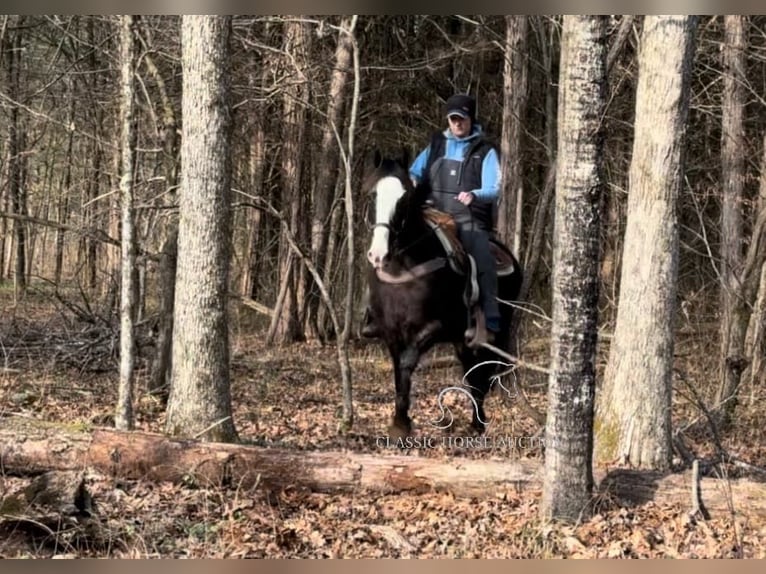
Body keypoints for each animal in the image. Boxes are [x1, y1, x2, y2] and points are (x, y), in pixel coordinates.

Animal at [364, 152, 520, 436]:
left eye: (405, 200)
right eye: (372, 195)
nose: (378, 255)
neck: (405, 266)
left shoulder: (436, 327)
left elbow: (407, 363)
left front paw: (402, 425)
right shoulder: (390, 331)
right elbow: (397, 371)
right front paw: (399, 423)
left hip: (495, 331)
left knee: (483, 369)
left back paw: (478, 423)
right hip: (463, 341)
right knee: (471, 371)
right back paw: (475, 422)